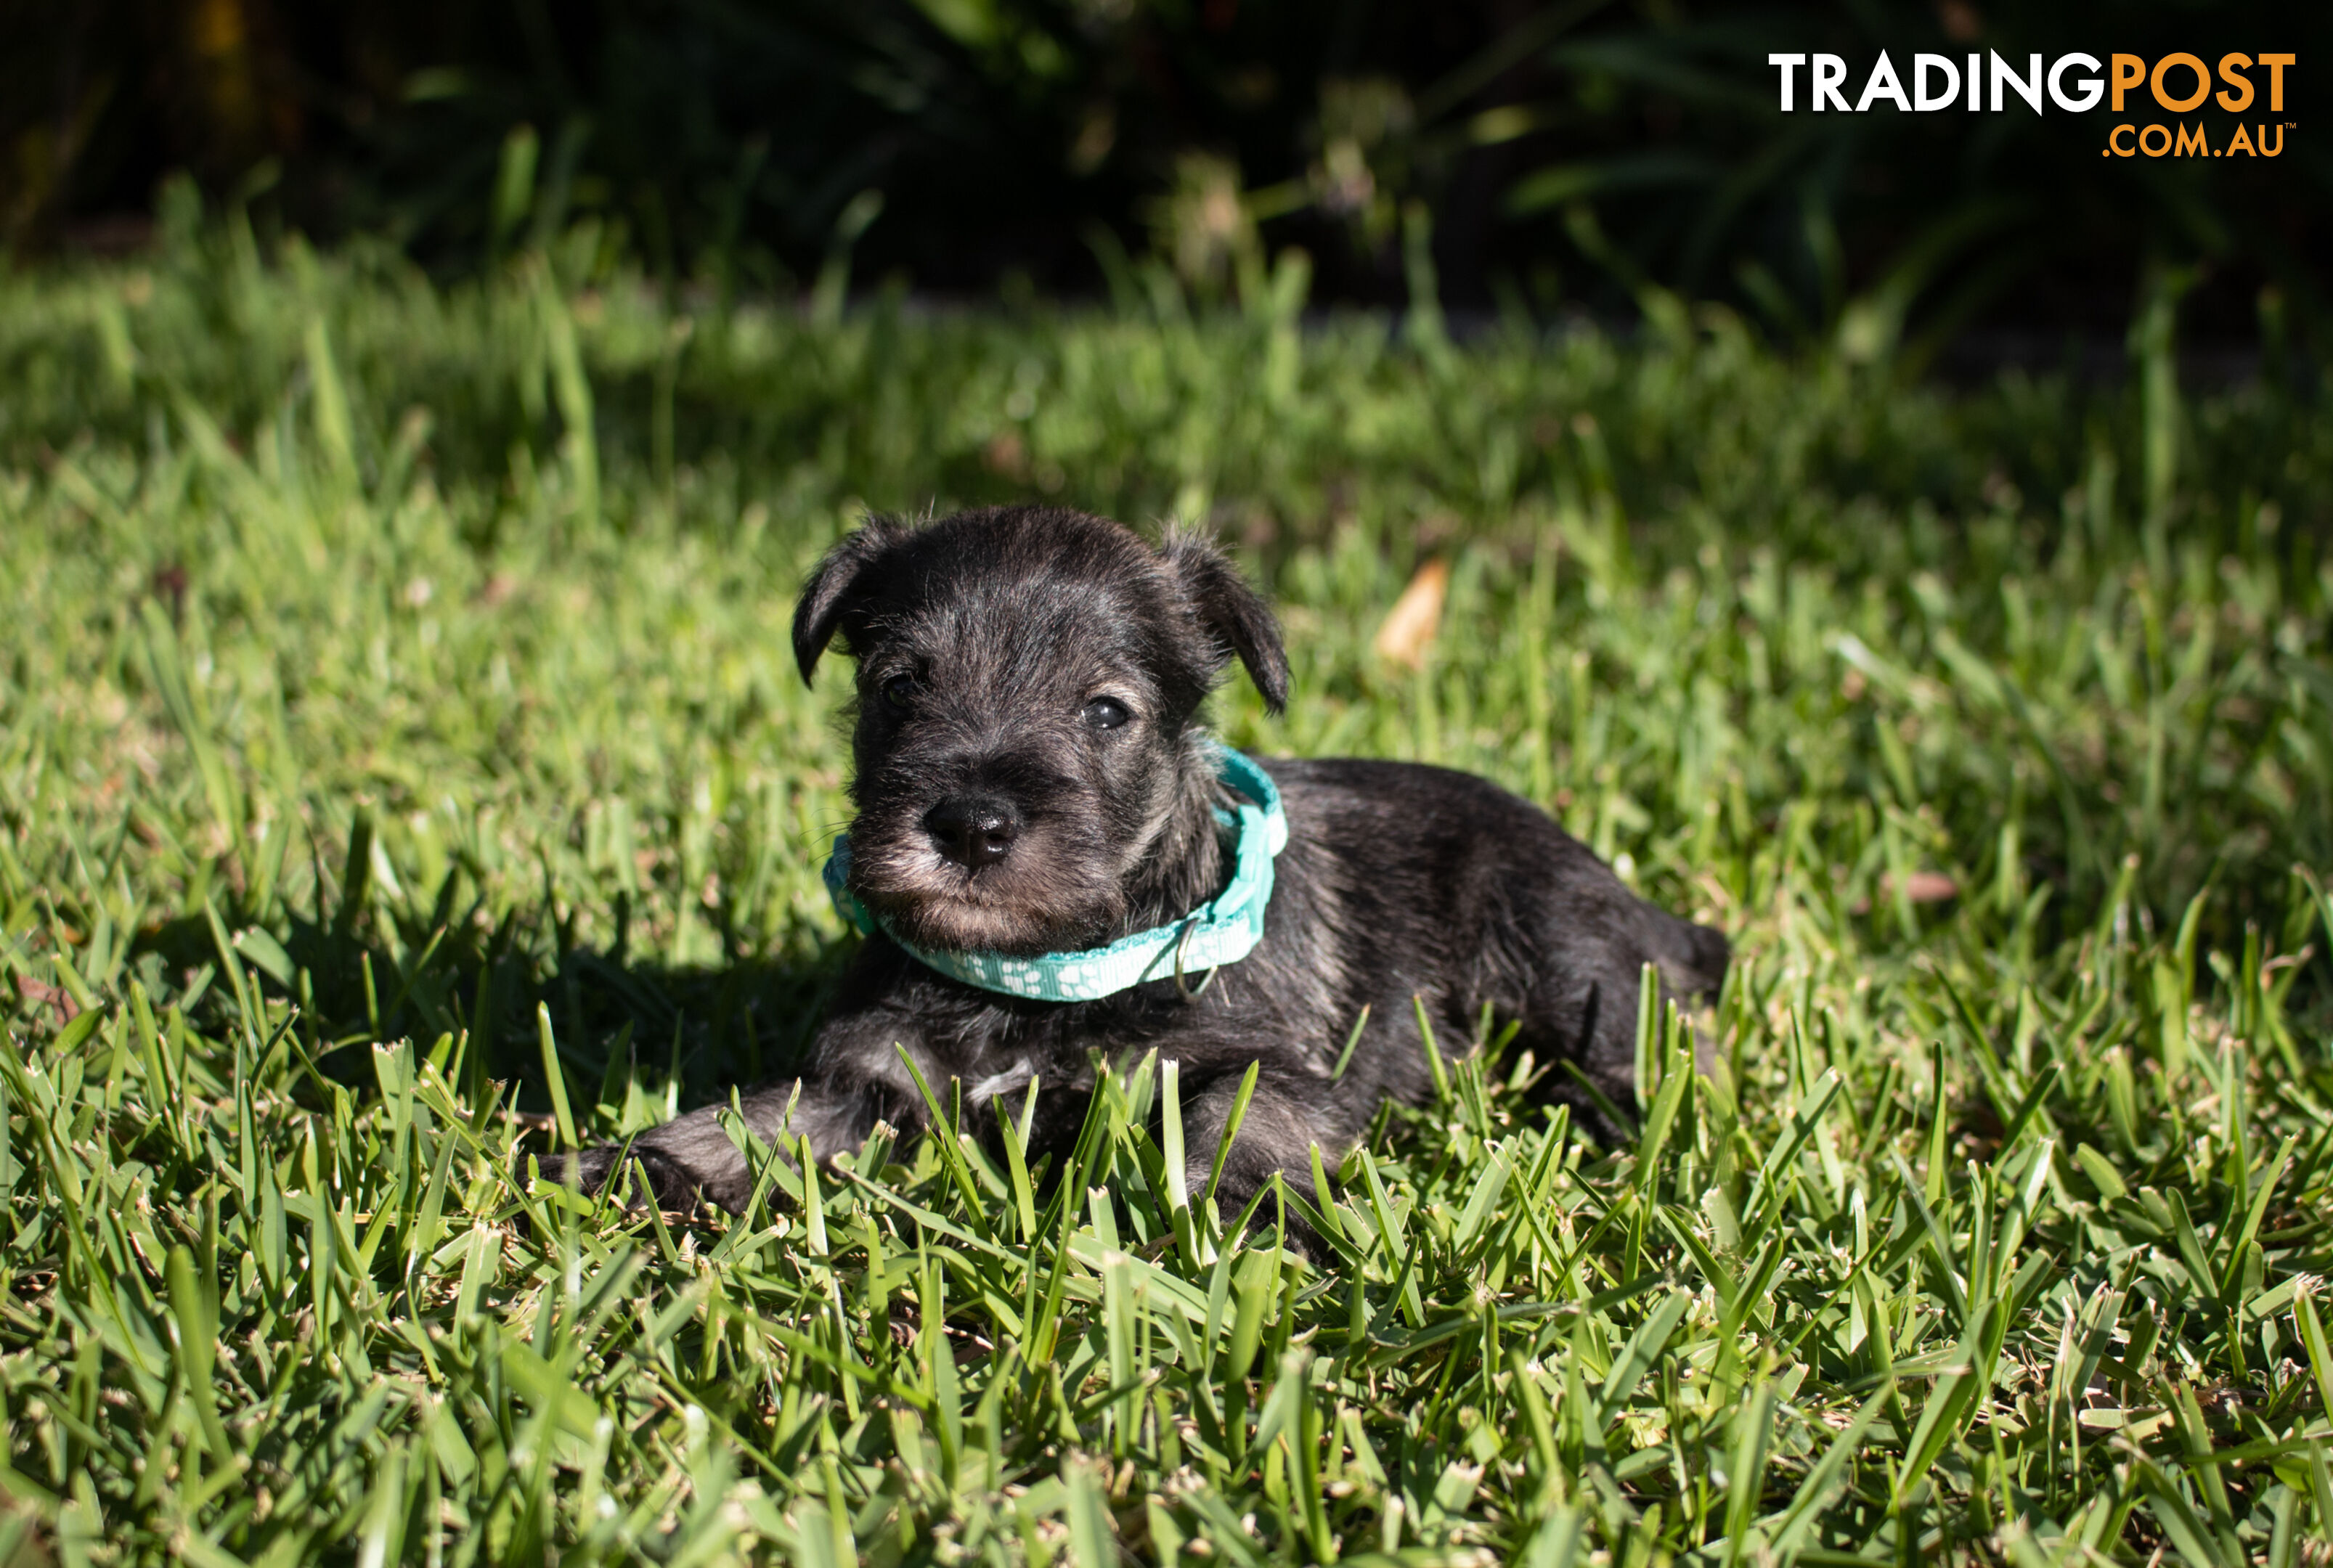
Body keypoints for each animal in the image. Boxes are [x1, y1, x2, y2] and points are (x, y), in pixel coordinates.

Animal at [569, 508, 1735, 1232]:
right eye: (899, 687)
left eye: (1104, 712)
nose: (971, 826)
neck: (1040, 976)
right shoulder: (873, 1081)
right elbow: (762, 1120)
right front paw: (635, 1164)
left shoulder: (1261, 1059)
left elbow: (1242, 1121)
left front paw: (1240, 1212)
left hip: (1569, 961)